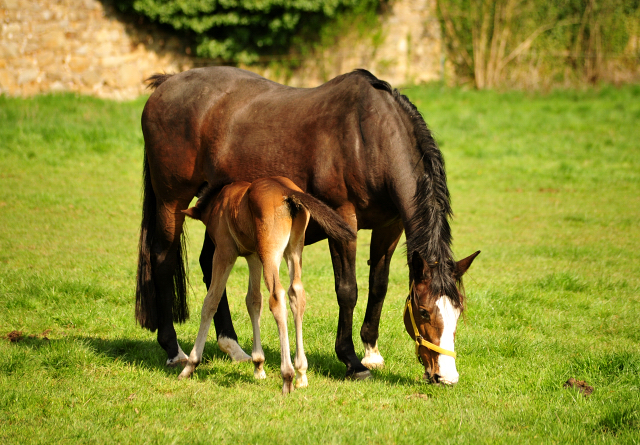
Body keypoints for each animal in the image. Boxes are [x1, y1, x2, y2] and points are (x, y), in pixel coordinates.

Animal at [138, 67, 478, 380]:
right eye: (423, 311)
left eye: (458, 310)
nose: (446, 375)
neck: (368, 137)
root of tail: (167, 83)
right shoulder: (343, 221)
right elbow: (348, 290)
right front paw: (351, 361)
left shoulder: (389, 227)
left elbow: (378, 286)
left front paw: (371, 352)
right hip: (171, 203)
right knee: (162, 260)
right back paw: (174, 350)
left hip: (222, 214)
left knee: (211, 265)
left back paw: (232, 346)